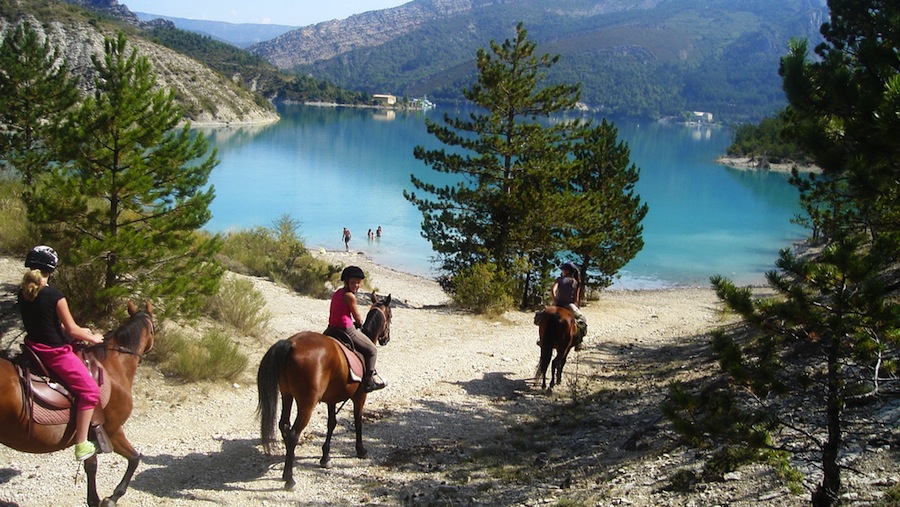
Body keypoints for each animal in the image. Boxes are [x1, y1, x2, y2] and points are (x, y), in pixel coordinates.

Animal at [0, 302, 154, 507]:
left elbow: (93, 465)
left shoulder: (94, 433)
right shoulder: (112, 430)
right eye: (154, 327)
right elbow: (134, 459)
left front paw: (97, 499)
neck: (113, 366)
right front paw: (111, 497)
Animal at [255, 296, 392, 490]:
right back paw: (289, 478)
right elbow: (358, 422)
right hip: (307, 403)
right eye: (390, 316)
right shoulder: (360, 396)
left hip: (287, 395)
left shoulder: (331, 399)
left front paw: (325, 457)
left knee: (284, 426)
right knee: (294, 433)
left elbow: (331, 423)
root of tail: (292, 344)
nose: (386, 338)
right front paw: (360, 449)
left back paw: (286, 471)